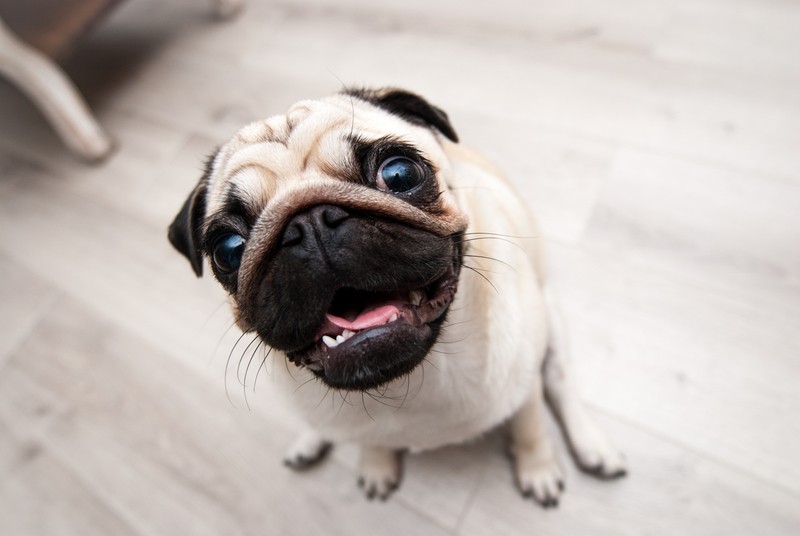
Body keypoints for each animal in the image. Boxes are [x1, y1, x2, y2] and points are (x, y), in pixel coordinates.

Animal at [169, 88, 628, 506]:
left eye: (400, 175)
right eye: (229, 250)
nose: (310, 223)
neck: (407, 381)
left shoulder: (522, 377)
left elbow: (530, 424)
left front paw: (538, 468)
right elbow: (368, 439)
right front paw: (377, 464)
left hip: (551, 321)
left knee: (559, 382)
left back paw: (592, 446)